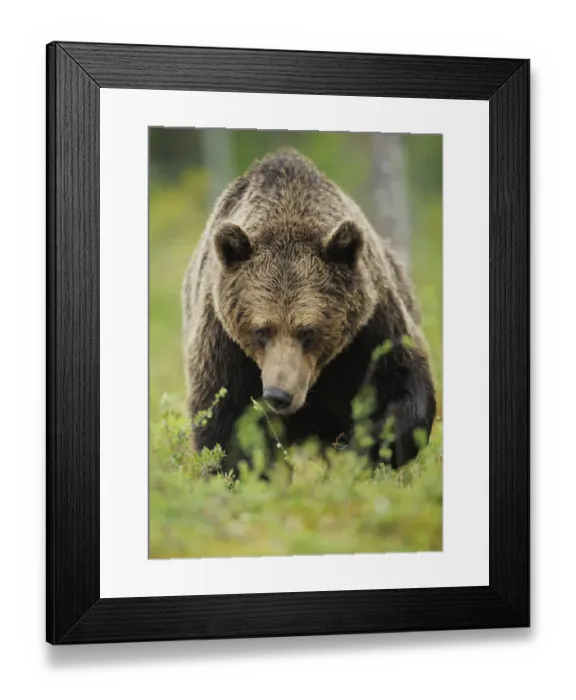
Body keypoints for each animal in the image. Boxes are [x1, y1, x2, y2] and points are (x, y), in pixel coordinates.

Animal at [182, 147, 437, 479]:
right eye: (261, 331)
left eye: (309, 332)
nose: (278, 395)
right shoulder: (223, 340)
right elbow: (223, 421)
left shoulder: (372, 328)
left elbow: (403, 384)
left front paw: (363, 446)